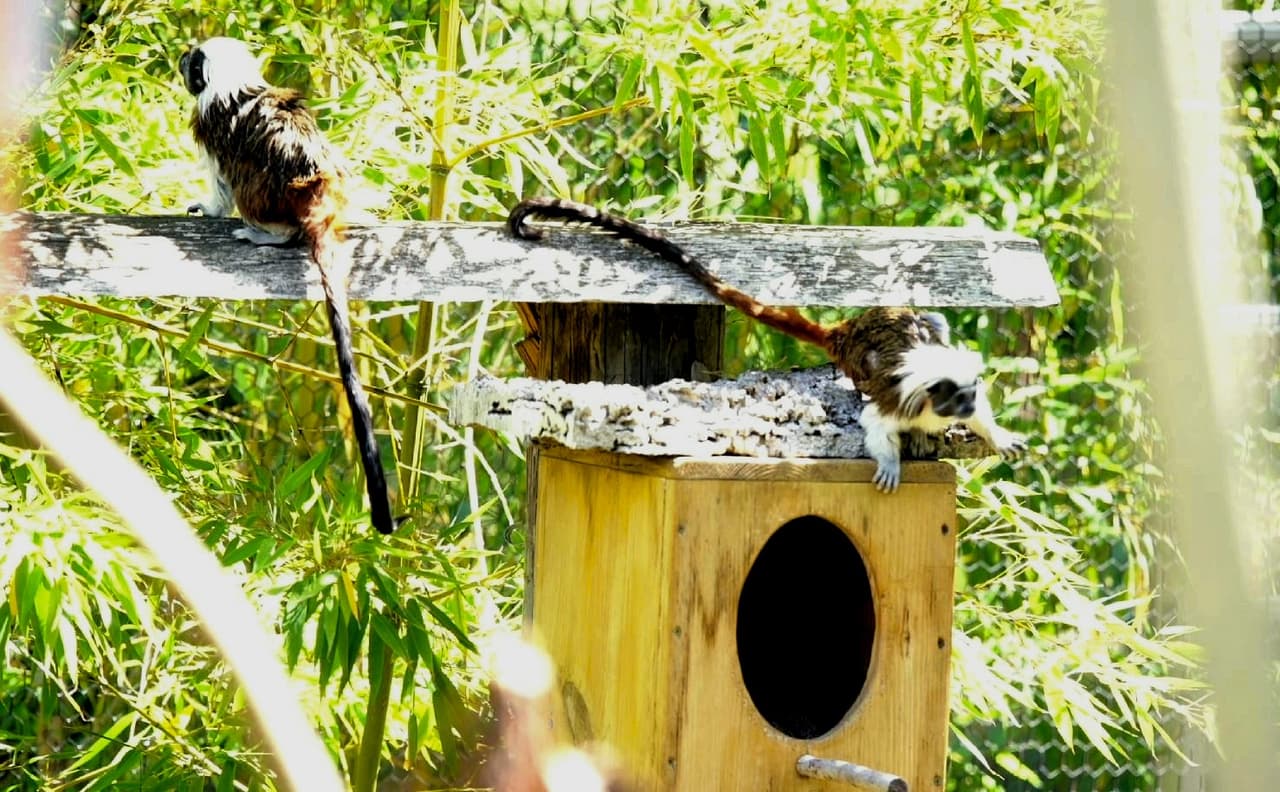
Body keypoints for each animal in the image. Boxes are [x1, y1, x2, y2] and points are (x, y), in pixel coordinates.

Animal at [179, 37, 395, 534]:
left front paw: (211, 208)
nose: (182, 61)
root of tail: (316, 188)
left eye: (193, 63)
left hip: (268, 195)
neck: (236, 86)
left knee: (246, 185)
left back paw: (271, 234)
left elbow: (221, 185)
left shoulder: (208, 122)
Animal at [507, 197, 1027, 492]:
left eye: (970, 397)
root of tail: (847, 329)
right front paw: (890, 462)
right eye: (956, 398)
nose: (964, 408)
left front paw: (997, 435)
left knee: (931, 317)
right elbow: (874, 423)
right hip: (860, 359)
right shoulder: (900, 400)